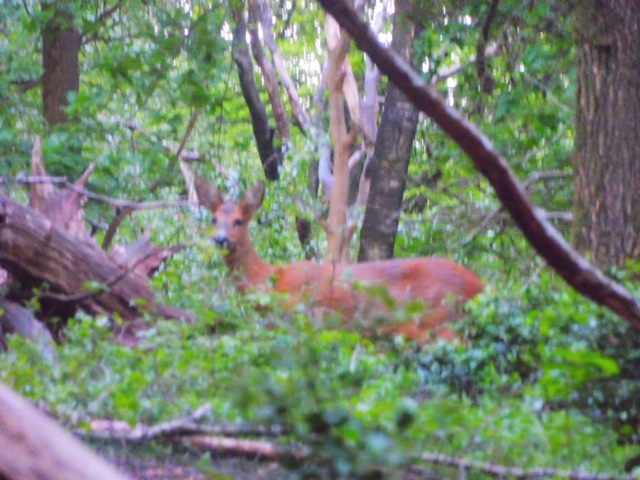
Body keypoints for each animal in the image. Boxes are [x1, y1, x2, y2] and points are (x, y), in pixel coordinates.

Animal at [194, 178, 480, 344]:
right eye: (214, 219)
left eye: (239, 221)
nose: (220, 239)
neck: (271, 281)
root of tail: (480, 286)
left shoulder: (305, 319)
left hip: (437, 318)